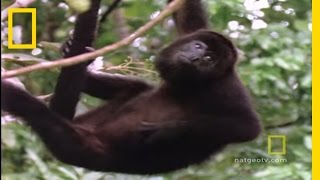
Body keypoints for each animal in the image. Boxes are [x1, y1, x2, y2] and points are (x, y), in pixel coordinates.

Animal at [1, 0, 262, 174]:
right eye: (198, 46)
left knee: (37, 113)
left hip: (83, 147)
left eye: (210, 59)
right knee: (135, 87)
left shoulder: (225, 87)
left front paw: (166, 130)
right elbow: (186, 12)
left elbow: (248, 127)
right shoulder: (196, 31)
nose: (196, 58)